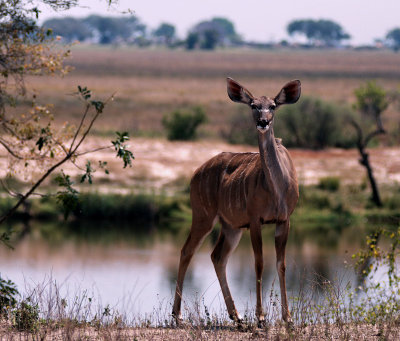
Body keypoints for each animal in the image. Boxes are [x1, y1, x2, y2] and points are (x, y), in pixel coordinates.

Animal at [172, 77, 300, 324]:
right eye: (253, 105)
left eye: (273, 106)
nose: (262, 122)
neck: (277, 189)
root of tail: (196, 172)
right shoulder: (255, 219)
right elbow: (259, 263)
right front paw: (261, 317)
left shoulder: (284, 219)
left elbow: (281, 264)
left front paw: (288, 318)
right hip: (204, 216)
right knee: (187, 251)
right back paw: (177, 314)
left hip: (231, 226)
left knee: (217, 256)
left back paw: (236, 315)